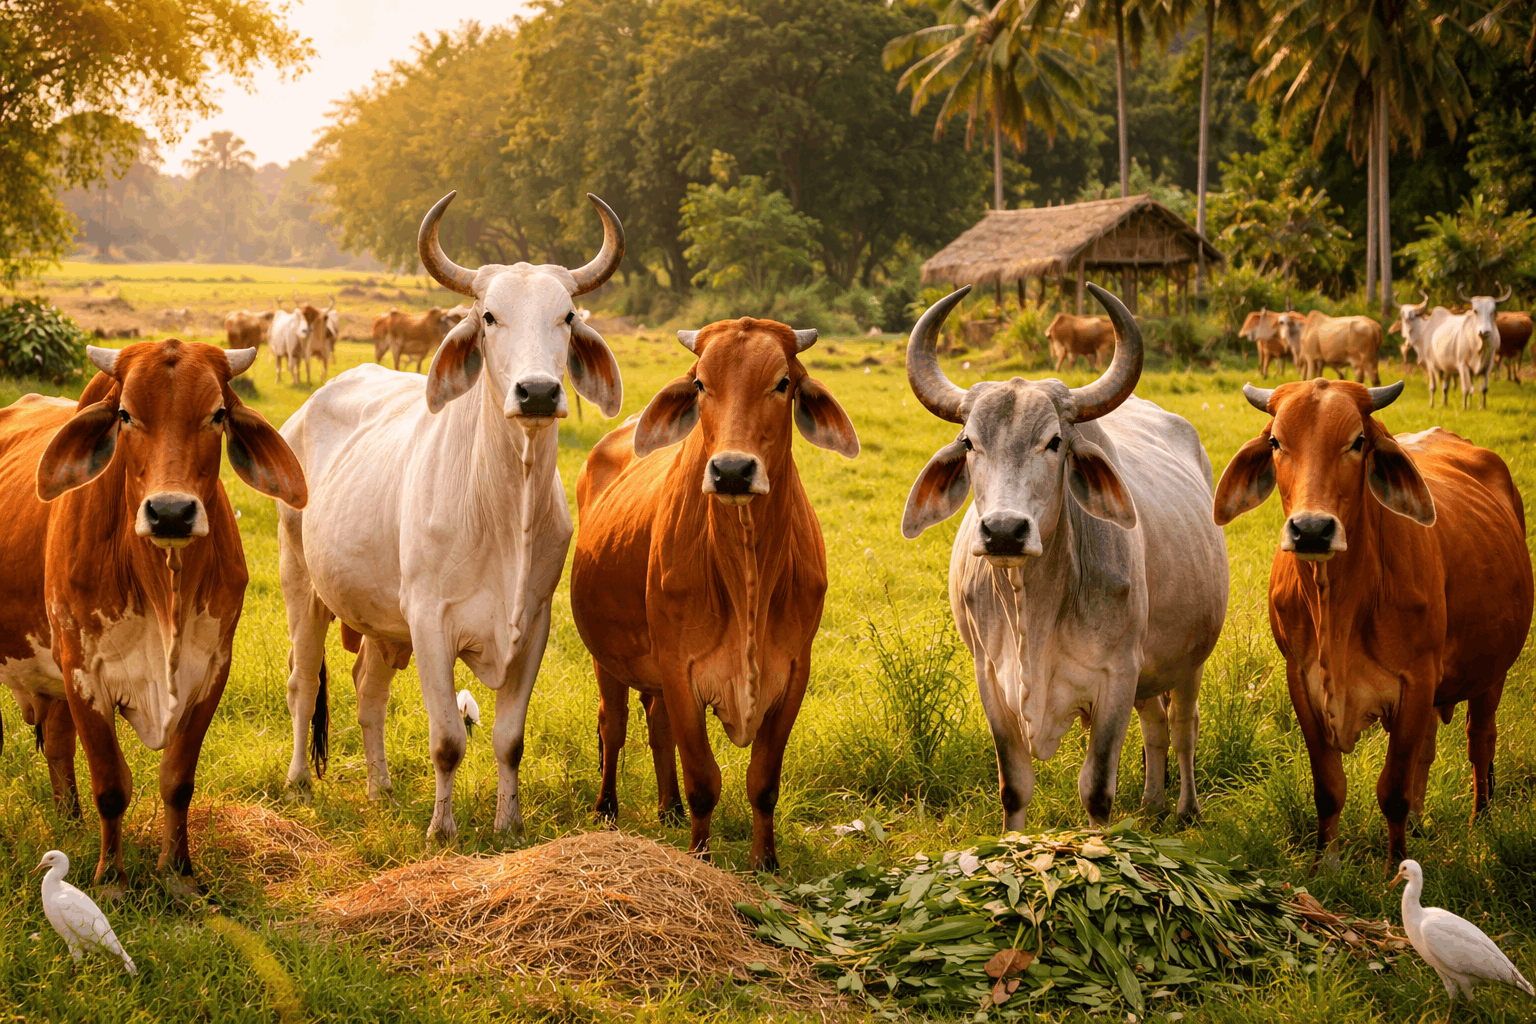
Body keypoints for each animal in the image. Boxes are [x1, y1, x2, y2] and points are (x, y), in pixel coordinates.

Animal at [0, 340, 306, 894]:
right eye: (125, 415)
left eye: (217, 414)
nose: (170, 513)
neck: (162, 588)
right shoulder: (83, 672)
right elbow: (110, 784)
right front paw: (111, 880)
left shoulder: (210, 670)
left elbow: (177, 781)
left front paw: (179, 875)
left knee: (57, 745)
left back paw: (68, 820)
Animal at [276, 191, 625, 840]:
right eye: (488, 316)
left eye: (567, 316)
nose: (538, 392)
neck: (505, 511)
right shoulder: (430, 621)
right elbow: (446, 742)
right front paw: (443, 830)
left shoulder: (533, 623)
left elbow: (509, 740)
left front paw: (508, 824)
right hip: (302, 584)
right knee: (302, 682)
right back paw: (298, 782)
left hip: (383, 625)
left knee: (368, 691)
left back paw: (381, 788)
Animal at [569, 317, 858, 870]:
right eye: (701, 384)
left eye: (782, 383)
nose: (731, 471)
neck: (745, 571)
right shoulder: (681, 670)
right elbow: (704, 779)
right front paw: (700, 861)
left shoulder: (794, 673)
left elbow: (762, 782)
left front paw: (766, 864)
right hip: (607, 657)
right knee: (612, 726)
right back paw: (606, 808)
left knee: (657, 726)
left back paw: (669, 810)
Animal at [900, 284, 1229, 830]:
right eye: (969, 443)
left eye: (1054, 441)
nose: (1004, 532)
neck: (1033, 609)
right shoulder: (991, 680)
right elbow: (1015, 786)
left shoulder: (1117, 678)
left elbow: (1096, 790)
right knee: (1157, 727)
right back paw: (1152, 804)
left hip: (1188, 662)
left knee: (1184, 728)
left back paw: (1185, 808)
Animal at [1213, 378, 1531, 872]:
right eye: (1276, 442)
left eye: (1358, 441)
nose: (1311, 530)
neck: (1338, 606)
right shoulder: (1301, 682)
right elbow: (1329, 786)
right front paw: (1324, 864)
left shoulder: (1416, 680)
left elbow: (1393, 789)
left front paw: (1392, 868)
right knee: (1428, 749)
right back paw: (1420, 822)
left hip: (1491, 670)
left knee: (1480, 741)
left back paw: (1481, 823)